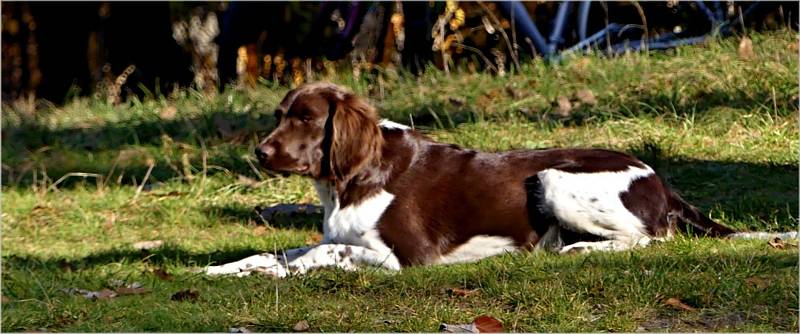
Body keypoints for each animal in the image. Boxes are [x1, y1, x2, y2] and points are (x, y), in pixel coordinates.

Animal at [205, 83, 792, 276]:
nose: (260, 152)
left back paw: (580, 250)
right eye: (279, 114)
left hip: (554, 178)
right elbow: (282, 250)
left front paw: (278, 274)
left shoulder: (405, 258)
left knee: (652, 239)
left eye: (306, 119)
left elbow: (322, 253)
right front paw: (228, 268)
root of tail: (661, 181)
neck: (353, 178)